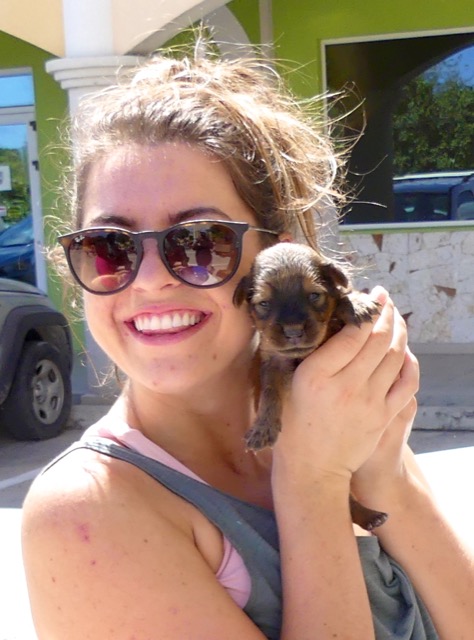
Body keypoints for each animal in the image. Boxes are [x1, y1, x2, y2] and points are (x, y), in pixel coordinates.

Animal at [234, 240, 388, 528]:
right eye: (264, 303)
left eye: (314, 295)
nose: (293, 331)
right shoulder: (274, 361)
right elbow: (270, 392)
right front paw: (262, 429)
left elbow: (342, 296)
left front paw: (357, 303)